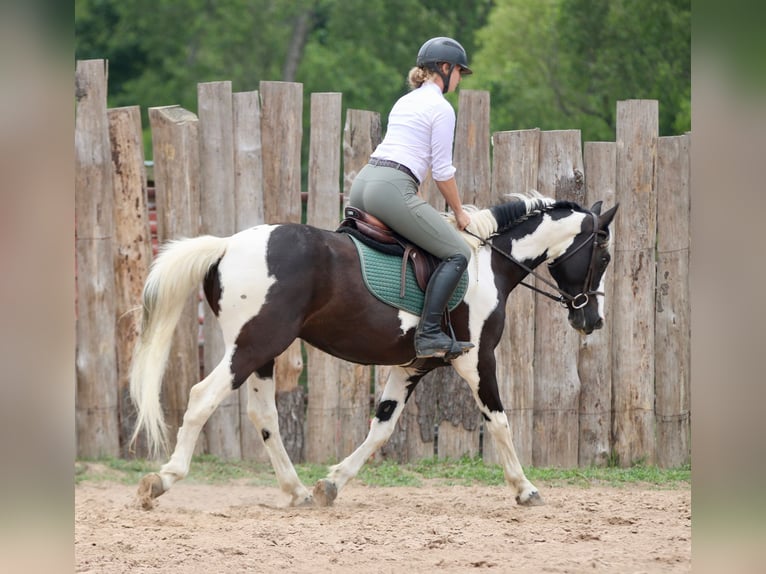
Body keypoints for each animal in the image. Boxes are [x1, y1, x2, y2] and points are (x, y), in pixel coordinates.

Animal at [130, 191, 618, 510]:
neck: (487, 264)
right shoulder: (477, 360)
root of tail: (227, 245)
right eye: (604, 257)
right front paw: (525, 489)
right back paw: (163, 480)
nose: (593, 320)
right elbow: (498, 422)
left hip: (262, 351)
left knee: (263, 415)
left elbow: (381, 428)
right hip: (252, 345)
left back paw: (297, 491)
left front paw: (331, 485)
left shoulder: (411, 366)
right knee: (202, 397)